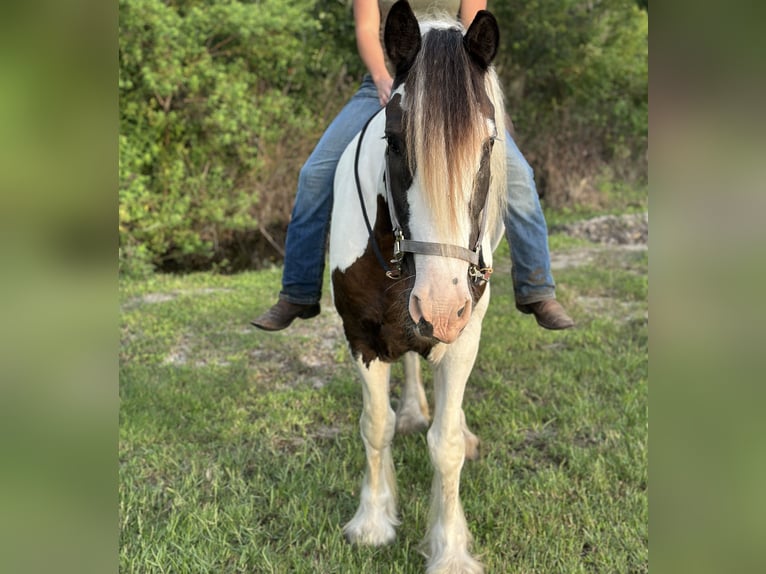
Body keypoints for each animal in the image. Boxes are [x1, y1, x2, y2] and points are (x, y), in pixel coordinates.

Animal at [329, 2, 507, 572]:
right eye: (394, 140)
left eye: (488, 143)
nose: (441, 307)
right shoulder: (361, 335)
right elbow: (374, 426)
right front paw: (372, 522)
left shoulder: (463, 336)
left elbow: (444, 446)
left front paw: (449, 551)